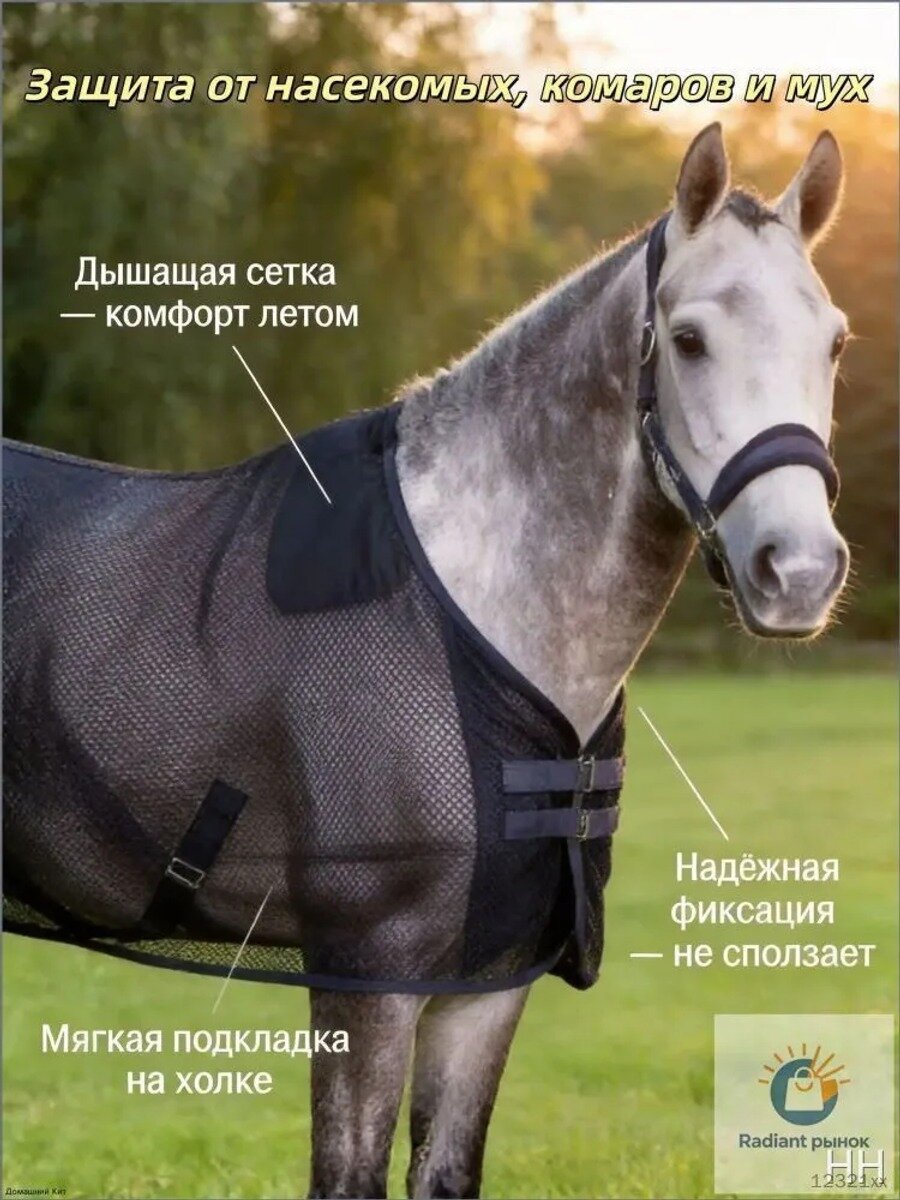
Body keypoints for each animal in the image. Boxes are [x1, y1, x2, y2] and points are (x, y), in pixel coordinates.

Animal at [3, 123, 850, 1198]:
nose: (799, 571)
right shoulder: (369, 976)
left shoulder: (486, 984)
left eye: (835, 341)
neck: (473, 601)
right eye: (690, 339)